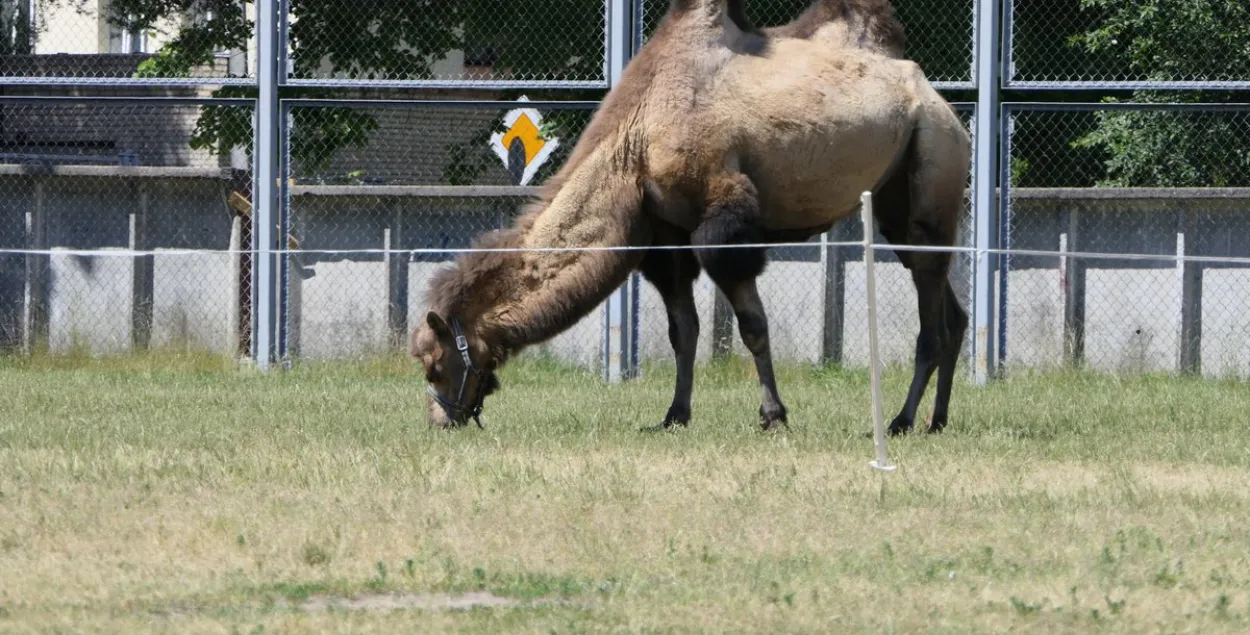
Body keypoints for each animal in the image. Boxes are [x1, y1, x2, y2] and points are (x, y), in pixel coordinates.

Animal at [415, 0, 970, 437]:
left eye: (434, 367)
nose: (440, 421)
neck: (635, 145)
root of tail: (938, 101)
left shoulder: (724, 218)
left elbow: (752, 325)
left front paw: (773, 415)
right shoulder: (668, 236)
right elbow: (683, 330)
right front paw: (675, 415)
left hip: (933, 156)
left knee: (931, 317)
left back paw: (901, 420)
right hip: (899, 200)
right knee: (949, 305)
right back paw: (937, 420)